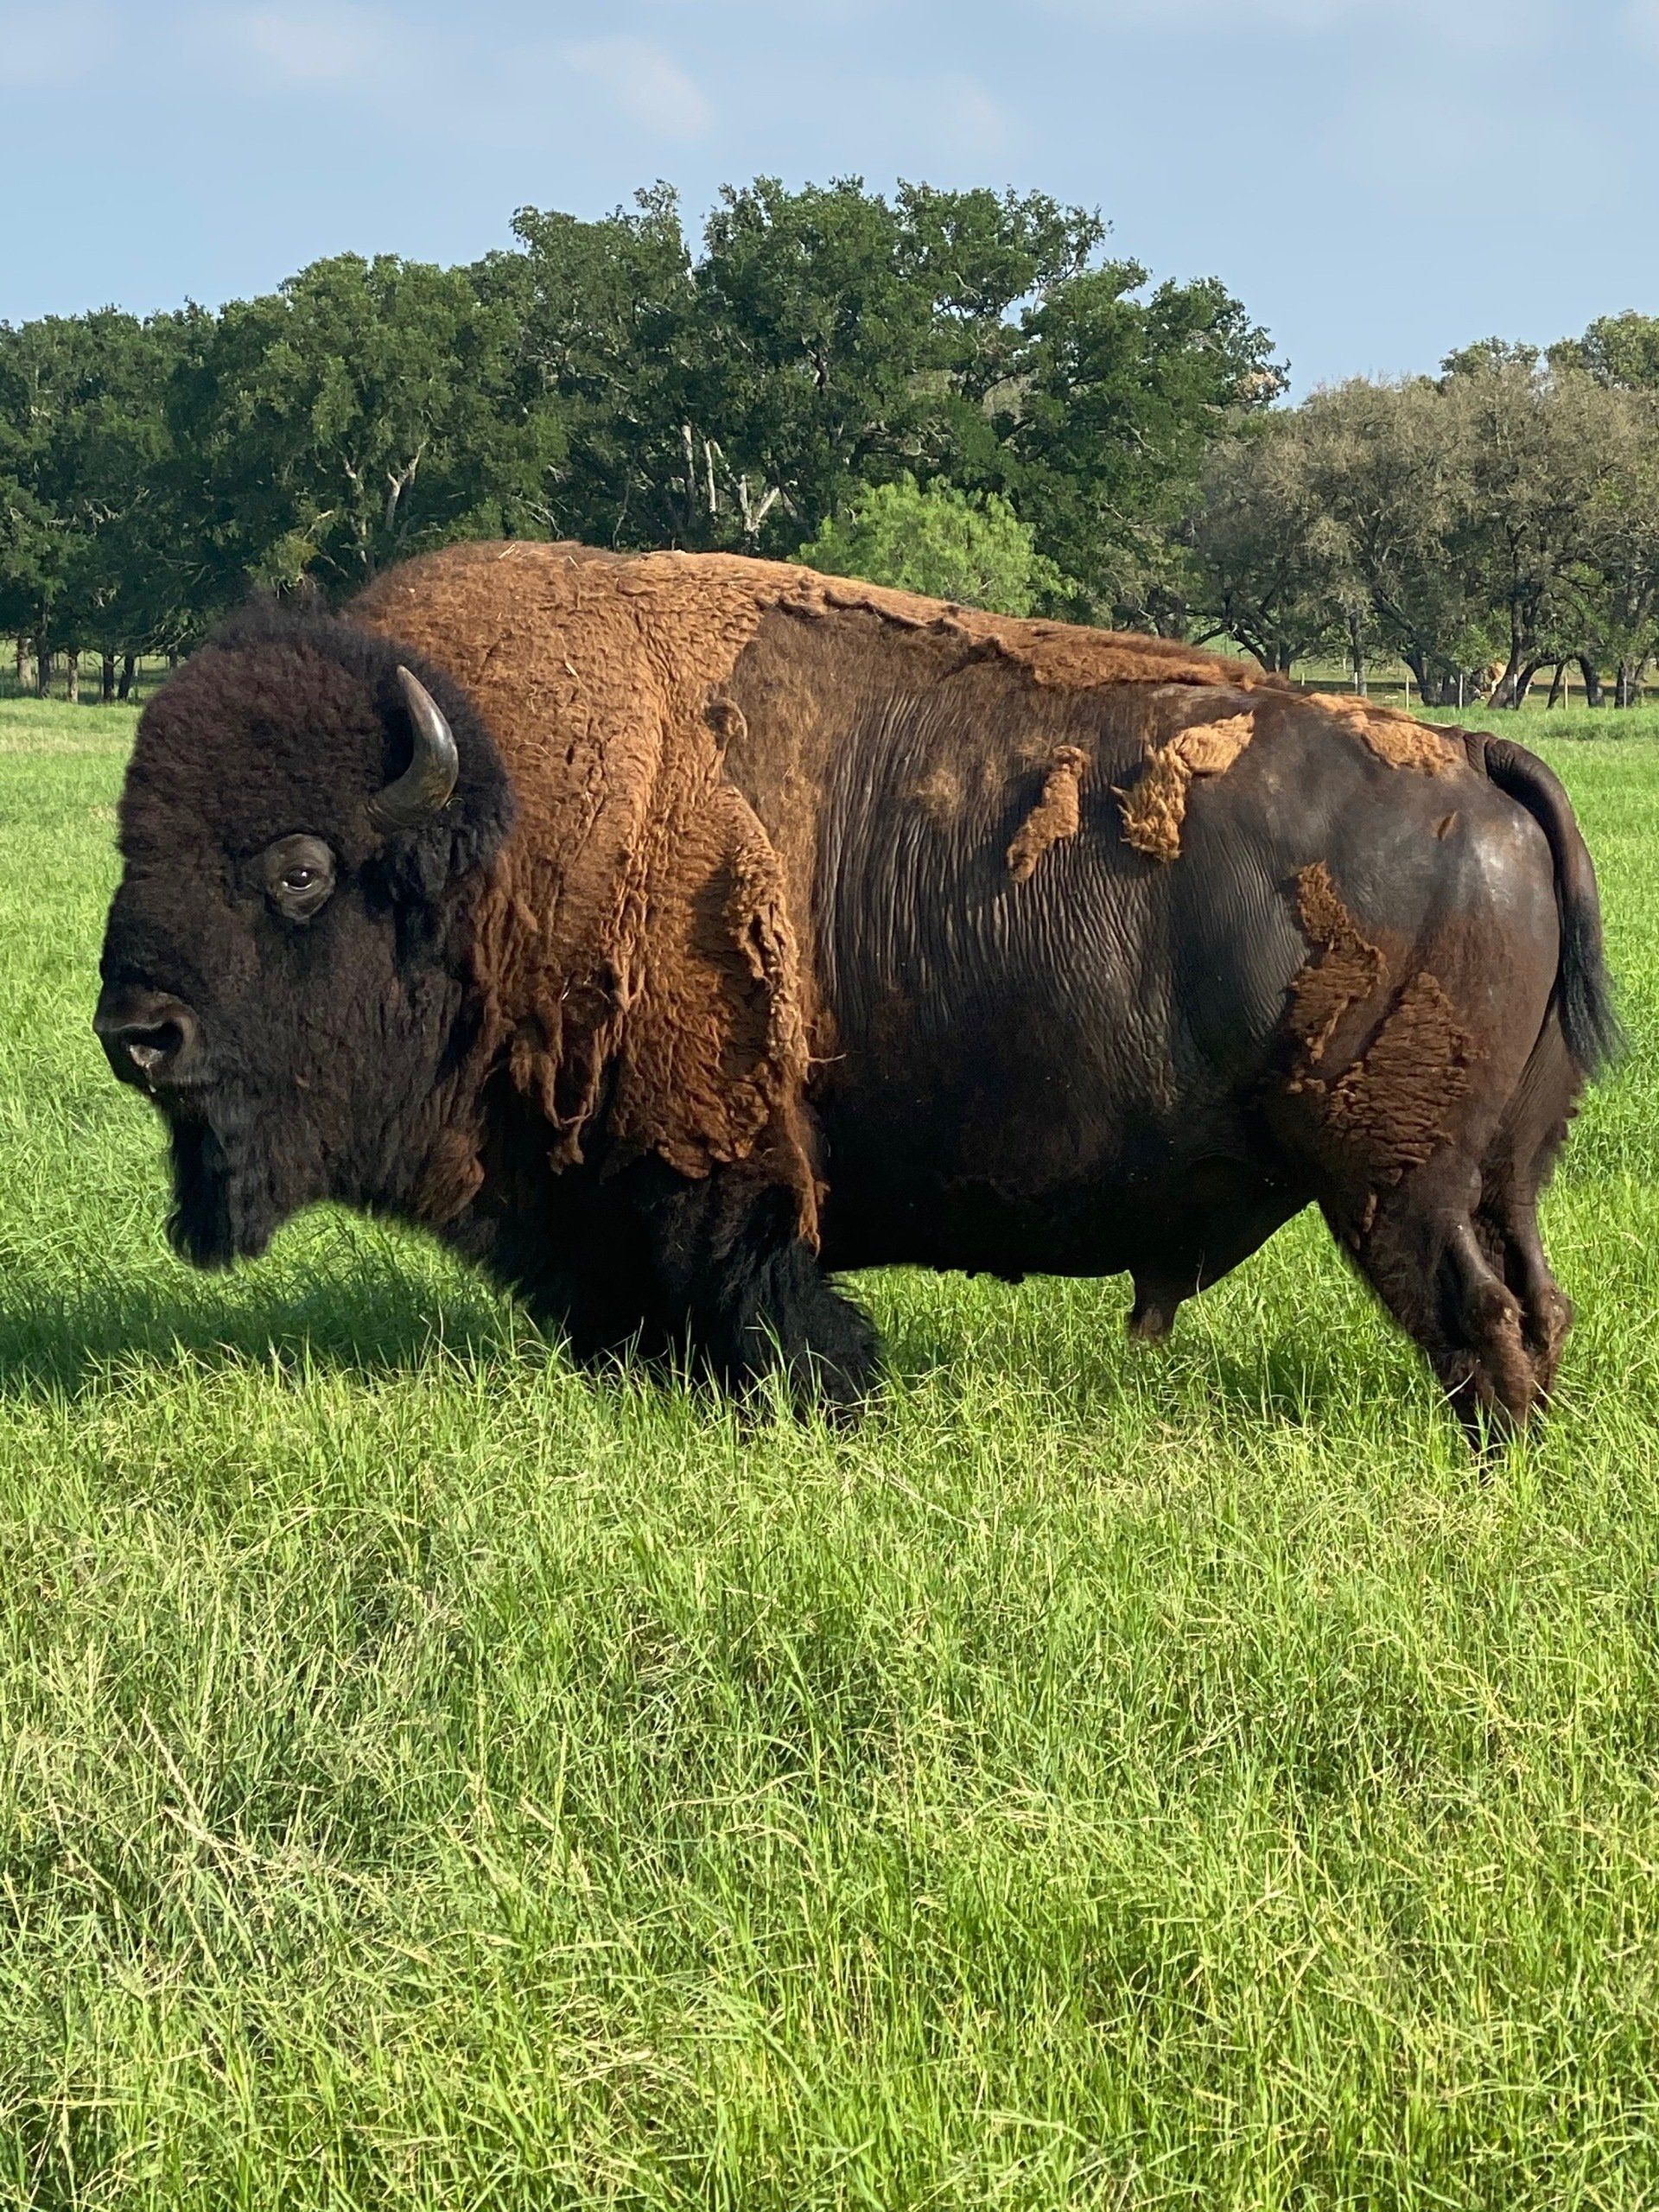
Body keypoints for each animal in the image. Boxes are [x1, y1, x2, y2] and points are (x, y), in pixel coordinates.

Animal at [95, 542, 1618, 1441]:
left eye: (299, 868)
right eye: (130, 837)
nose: (135, 1033)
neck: (506, 832)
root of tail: (1475, 758)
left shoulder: (714, 1171)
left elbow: (765, 1301)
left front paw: (820, 1405)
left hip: (1396, 1182)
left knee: (1476, 1316)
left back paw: (1488, 1459)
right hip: (1498, 1173)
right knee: (1532, 1302)